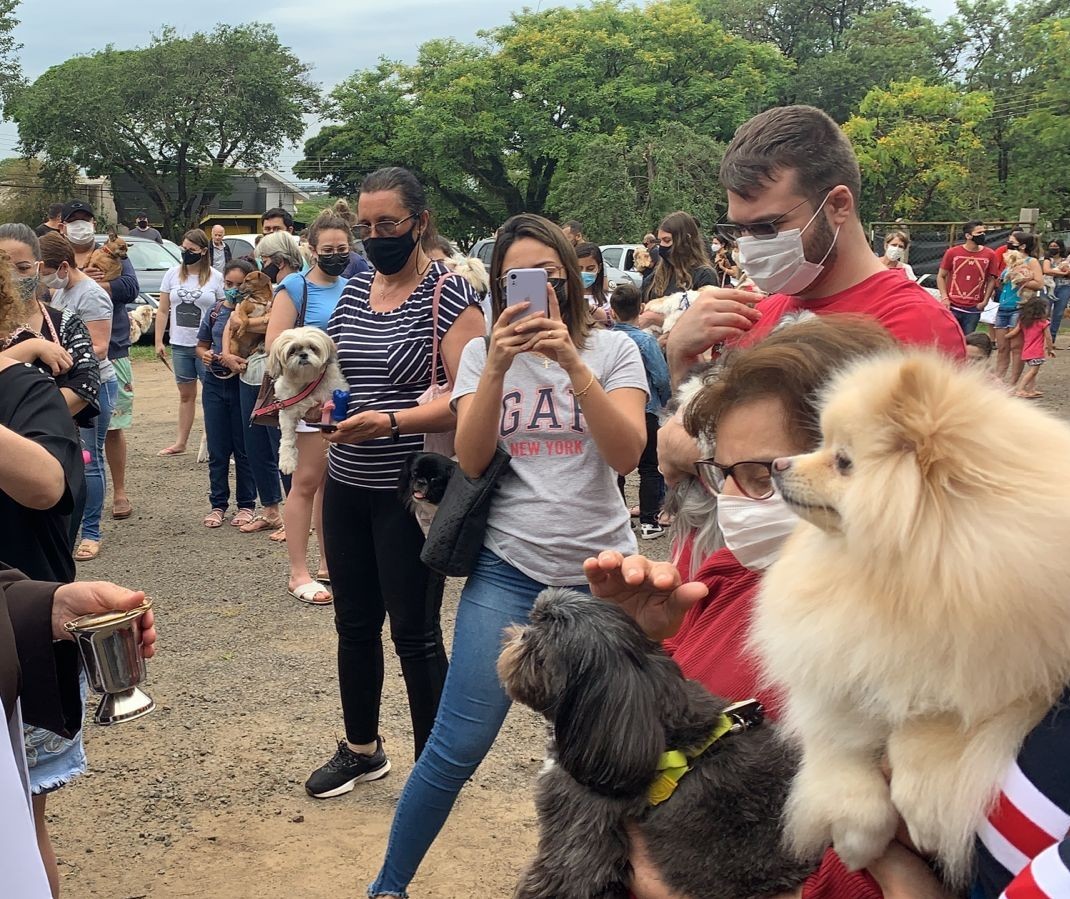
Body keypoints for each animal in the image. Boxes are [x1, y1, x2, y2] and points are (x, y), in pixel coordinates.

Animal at [269, 327, 344, 473]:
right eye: (292, 351)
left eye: (313, 348)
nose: (303, 355)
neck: (306, 382)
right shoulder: (287, 413)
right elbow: (287, 438)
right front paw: (287, 460)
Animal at [749, 351, 1070, 886]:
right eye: (821, 442)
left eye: (843, 461)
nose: (777, 463)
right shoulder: (834, 667)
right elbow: (838, 744)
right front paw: (857, 838)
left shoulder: (1009, 677)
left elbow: (930, 724)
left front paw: (926, 818)